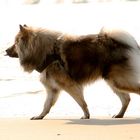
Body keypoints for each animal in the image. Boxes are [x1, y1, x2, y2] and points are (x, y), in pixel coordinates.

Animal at [5, 24, 140, 119]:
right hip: (113, 82)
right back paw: (119, 114)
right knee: (126, 99)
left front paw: (86, 115)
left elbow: (81, 102)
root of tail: (114, 42)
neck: (47, 54)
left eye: (15, 43)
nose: (5, 50)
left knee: (131, 93)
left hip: (118, 81)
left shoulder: (69, 85)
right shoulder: (52, 89)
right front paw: (40, 116)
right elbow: (46, 105)